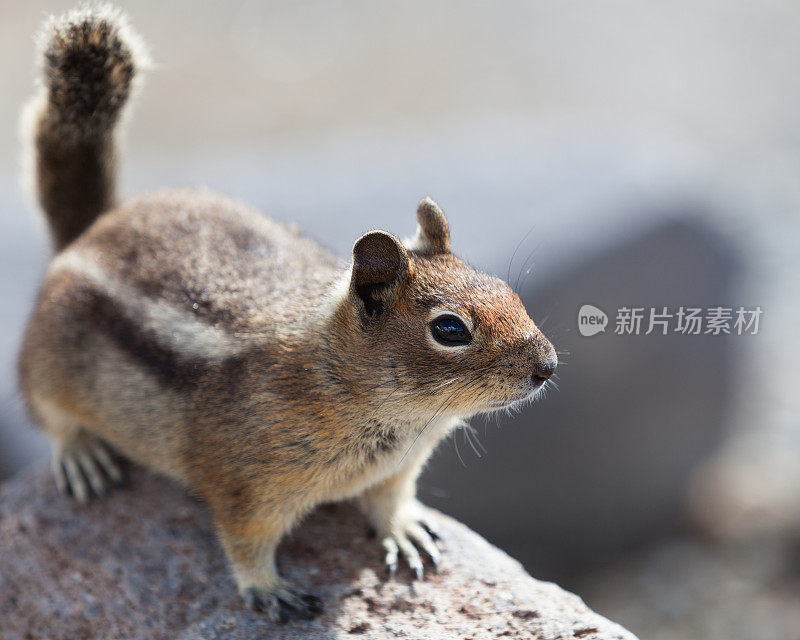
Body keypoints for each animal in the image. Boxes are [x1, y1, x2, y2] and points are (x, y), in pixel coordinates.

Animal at [18, 5, 556, 624]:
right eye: (449, 330)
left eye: (507, 291)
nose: (548, 367)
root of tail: (89, 232)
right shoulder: (243, 485)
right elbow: (244, 542)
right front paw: (267, 588)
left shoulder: (397, 470)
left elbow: (390, 501)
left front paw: (403, 530)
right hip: (47, 359)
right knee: (48, 412)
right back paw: (81, 455)